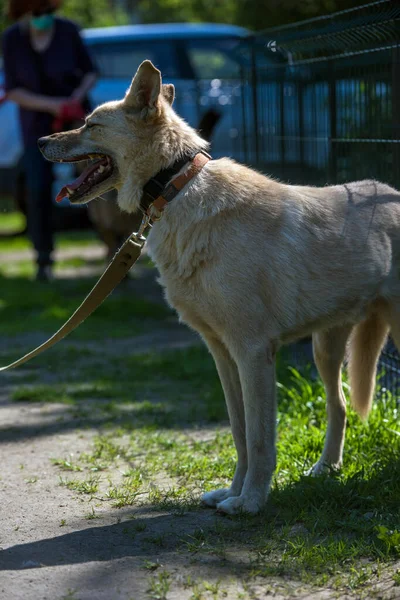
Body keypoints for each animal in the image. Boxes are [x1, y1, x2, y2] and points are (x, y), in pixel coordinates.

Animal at [38, 61, 400, 512]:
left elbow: (261, 439)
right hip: (326, 349)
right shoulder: (223, 355)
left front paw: (250, 502)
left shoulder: (253, 352)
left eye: (91, 125)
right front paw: (232, 491)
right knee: (341, 407)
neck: (175, 187)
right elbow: (240, 434)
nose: (39, 142)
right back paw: (326, 469)